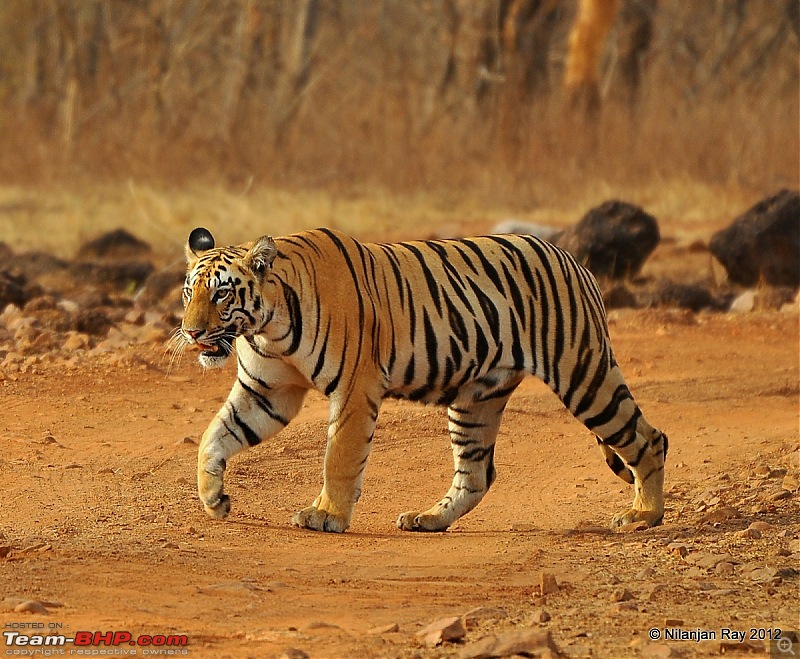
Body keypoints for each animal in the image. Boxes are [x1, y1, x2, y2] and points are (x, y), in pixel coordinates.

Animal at [177, 224, 668, 532]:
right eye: (188, 292)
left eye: (221, 294)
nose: (192, 332)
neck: (267, 326)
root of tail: (574, 260)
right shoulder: (266, 391)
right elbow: (213, 437)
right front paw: (213, 499)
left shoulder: (354, 389)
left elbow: (339, 457)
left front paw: (327, 515)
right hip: (475, 400)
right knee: (477, 473)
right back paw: (428, 519)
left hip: (583, 374)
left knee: (648, 438)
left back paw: (643, 517)